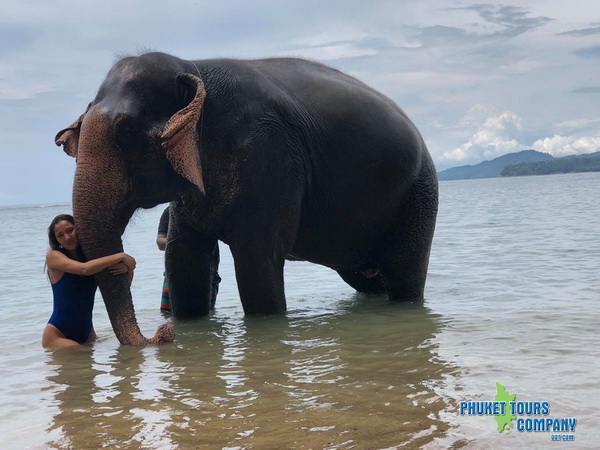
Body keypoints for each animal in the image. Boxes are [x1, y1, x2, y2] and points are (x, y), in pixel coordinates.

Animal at [54, 51, 438, 344]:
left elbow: (257, 259)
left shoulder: (270, 155)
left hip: (418, 193)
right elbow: (182, 258)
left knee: (404, 274)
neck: (193, 68)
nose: (162, 335)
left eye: (127, 132)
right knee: (366, 278)